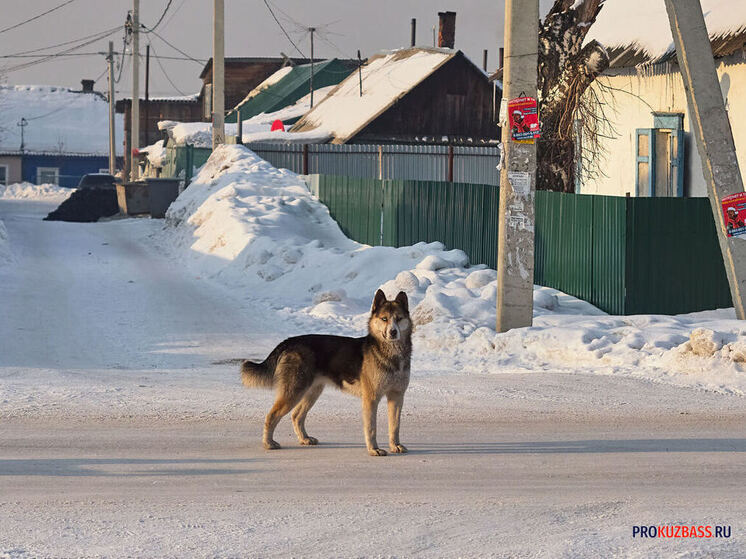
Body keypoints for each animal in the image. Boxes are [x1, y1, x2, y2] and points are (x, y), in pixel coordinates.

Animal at [240, 290, 410, 458]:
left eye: (399, 319)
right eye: (384, 319)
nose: (393, 332)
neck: (392, 355)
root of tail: (290, 341)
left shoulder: (397, 397)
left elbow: (395, 426)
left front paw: (395, 446)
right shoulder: (371, 399)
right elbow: (371, 428)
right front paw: (373, 449)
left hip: (311, 392)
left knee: (296, 416)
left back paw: (304, 439)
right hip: (293, 393)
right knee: (271, 416)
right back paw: (268, 443)